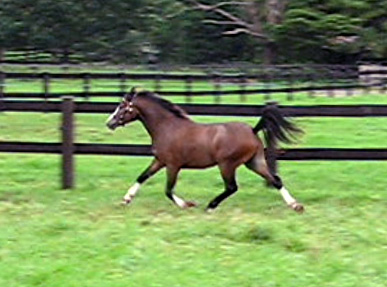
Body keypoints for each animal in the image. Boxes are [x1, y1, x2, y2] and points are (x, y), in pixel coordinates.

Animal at [107, 88, 306, 214]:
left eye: (122, 106)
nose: (109, 123)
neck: (167, 127)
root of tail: (252, 130)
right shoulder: (159, 161)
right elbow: (142, 177)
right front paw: (126, 199)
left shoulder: (173, 165)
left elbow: (168, 190)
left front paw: (187, 204)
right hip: (254, 162)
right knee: (275, 180)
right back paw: (295, 205)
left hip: (227, 165)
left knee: (232, 187)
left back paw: (210, 206)